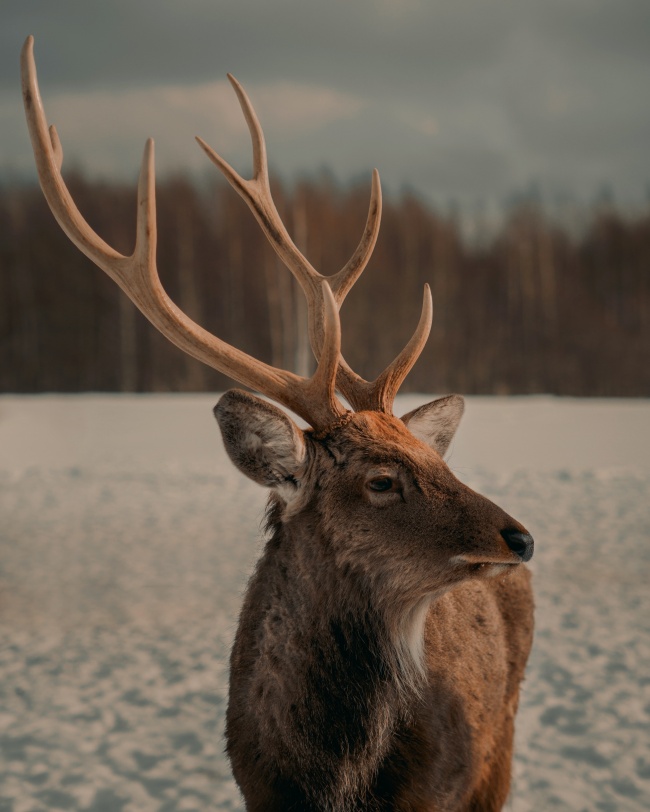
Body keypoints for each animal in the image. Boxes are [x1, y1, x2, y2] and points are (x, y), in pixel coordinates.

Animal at [21, 36, 534, 812]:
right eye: (381, 479)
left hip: (499, 744)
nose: (521, 536)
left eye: (437, 459)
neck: (331, 779)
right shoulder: (256, 786)